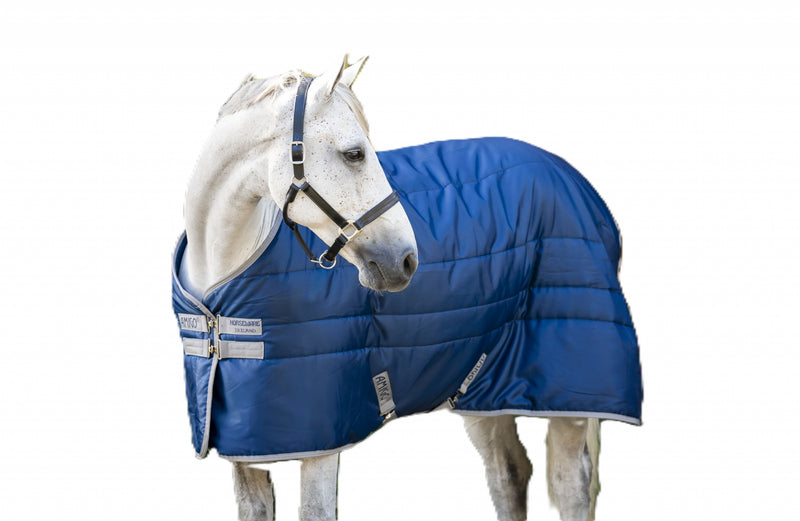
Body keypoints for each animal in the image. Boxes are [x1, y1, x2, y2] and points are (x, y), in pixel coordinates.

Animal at [173, 56, 641, 521]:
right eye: (355, 153)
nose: (405, 261)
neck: (218, 304)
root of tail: (574, 180)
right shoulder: (247, 448)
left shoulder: (322, 441)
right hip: (482, 384)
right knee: (509, 474)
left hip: (569, 393)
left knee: (570, 485)